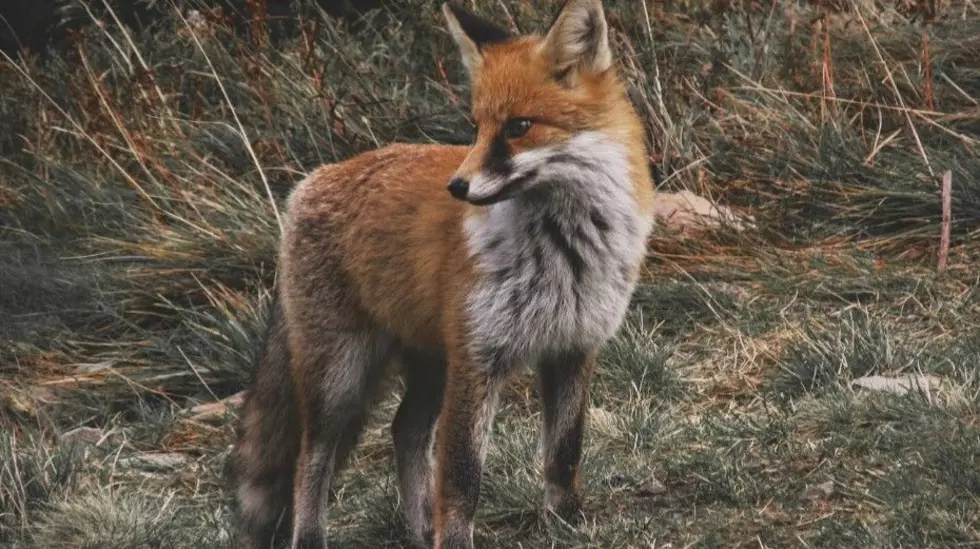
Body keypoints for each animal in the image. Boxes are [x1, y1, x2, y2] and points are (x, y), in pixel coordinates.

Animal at [227, 1, 656, 548]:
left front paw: (566, 523)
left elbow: (564, 452)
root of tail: (311, 181)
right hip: (340, 376)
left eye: (518, 126)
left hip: (429, 362)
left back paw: (417, 529)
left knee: (405, 431)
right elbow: (461, 475)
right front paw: (453, 540)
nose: (458, 186)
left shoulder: (573, 347)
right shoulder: (477, 359)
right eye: (476, 127)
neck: (564, 251)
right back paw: (312, 537)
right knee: (311, 458)